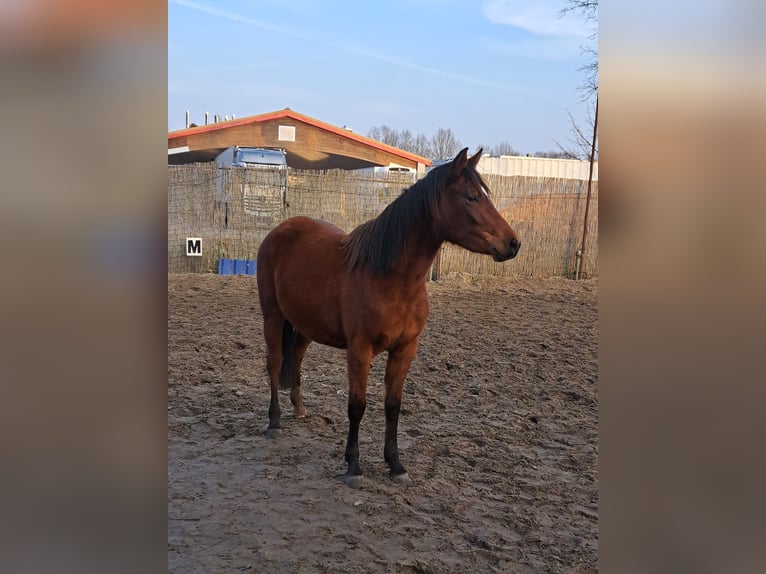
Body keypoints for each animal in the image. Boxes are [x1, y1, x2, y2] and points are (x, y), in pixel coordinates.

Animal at [258, 150, 520, 486]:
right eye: (472, 197)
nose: (513, 243)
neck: (391, 278)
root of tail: (280, 230)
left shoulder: (405, 350)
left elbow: (393, 406)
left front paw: (395, 464)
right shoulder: (360, 351)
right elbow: (357, 406)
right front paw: (353, 466)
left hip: (304, 326)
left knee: (297, 361)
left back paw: (300, 410)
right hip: (273, 317)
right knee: (275, 363)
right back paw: (274, 422)